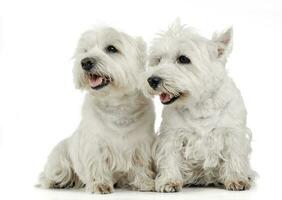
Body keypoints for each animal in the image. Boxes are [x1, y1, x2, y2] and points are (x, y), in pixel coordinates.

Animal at [38, 26, 155, 194]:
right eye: (85, 50)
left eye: (111, 48)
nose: (85, 62)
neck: (117, 104)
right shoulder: (95, 143)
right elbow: (96, 164)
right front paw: (100, 184)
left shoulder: (142, 143)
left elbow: (141, 163)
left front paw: (145, 183)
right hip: (60, 156)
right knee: (49, 174)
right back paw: (57, 182)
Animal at [143, 19, 256, 192]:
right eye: (159, 59)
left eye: (183, 59)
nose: (152, 80)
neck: (200, 106)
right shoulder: (172, 135)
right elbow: (170, 157)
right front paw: (169, 181)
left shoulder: (232, 132)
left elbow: (234, 155)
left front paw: (236, 179)